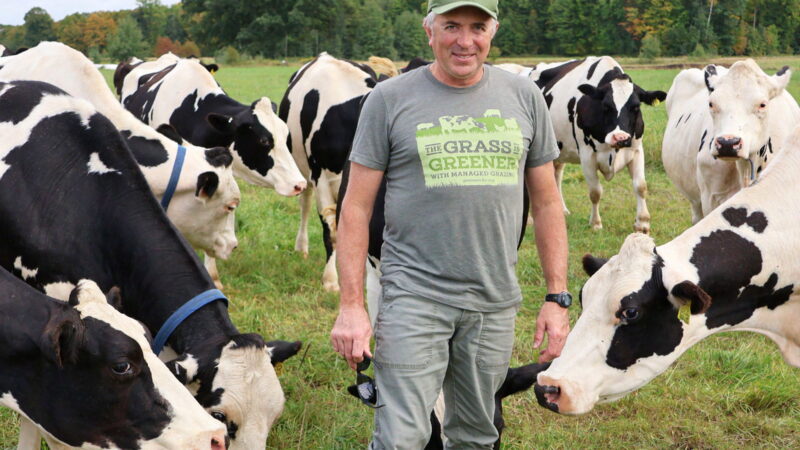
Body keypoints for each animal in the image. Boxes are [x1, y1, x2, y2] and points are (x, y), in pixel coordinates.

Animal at [279, 52, 383, 291]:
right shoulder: (321, 178)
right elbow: (332, 231)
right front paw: (331, 280)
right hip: (303, 169)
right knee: (305, 204)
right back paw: (301, 247)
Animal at [528, 56, 666, 233]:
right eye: (606, 106)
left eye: (636, 107)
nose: (620, 137)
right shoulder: (587, 155)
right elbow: (595, 192)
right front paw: (595, 223)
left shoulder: (636, 150)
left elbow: (641, 186)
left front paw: (642, 223)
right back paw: (530, 219)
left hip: (558, 149)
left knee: (556, 175)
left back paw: (562, 210)